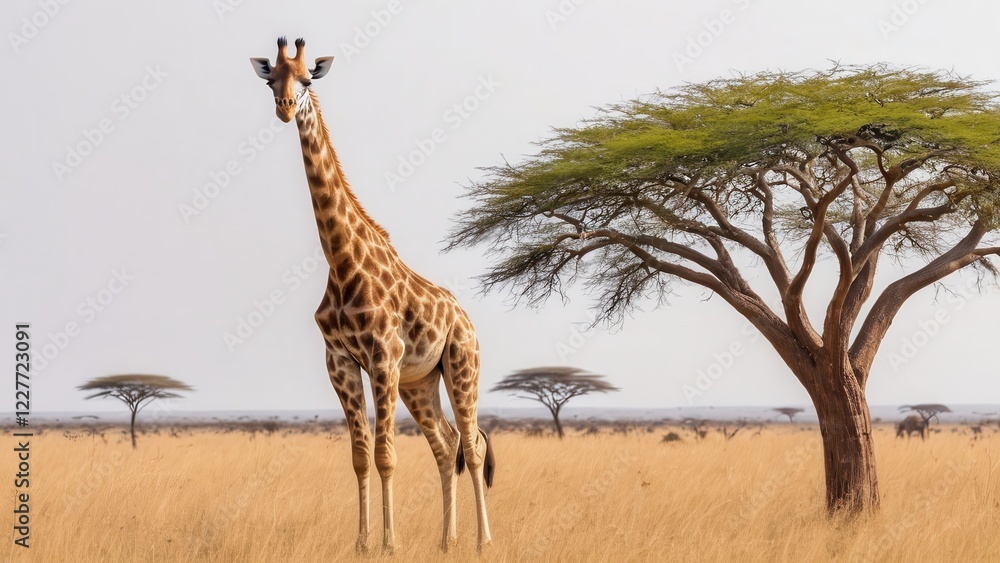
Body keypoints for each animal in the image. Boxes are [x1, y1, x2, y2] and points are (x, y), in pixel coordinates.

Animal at [250, 37, 494, 553]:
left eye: (307, 79)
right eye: (271, 79)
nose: (285, 108)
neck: (342, 263)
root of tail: (465, 317)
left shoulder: (383, 357)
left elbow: (386, 455)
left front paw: (389, 543)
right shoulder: (340, 359)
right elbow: (361, 455)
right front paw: (362, 543)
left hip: (462, 364)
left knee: (474, 442)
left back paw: (483, 542)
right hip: (419, 381)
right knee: (446, 445)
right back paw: (447, 541)